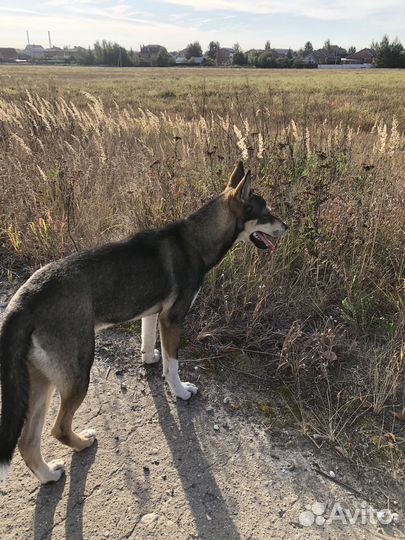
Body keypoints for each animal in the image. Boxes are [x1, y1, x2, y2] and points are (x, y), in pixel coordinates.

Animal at [0, 162, 288, 484]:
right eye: (266, 214)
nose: (287, 227)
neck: (195, 239)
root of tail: (23, 301)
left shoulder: (152, 314)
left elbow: (148, 341)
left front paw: (149, 359)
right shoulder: (172, 319)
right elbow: (173, 365)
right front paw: (180, 391)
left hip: (42, 381)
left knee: (27, 442)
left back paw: (48, 474)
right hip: (76, 374)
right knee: (58, 428)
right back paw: (82, 443)